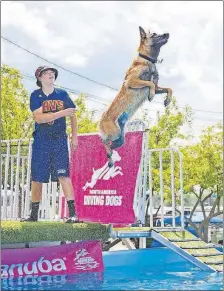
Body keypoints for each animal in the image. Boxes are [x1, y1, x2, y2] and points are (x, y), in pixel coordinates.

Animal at [98, 27, 172, 169]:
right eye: (154, 34)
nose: (167, 33)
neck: (147, 60)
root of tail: (101, 120)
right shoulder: (131, 81)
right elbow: (149, 84)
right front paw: (151, 95)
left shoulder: (157, 86)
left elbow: (168, 88)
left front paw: (167, 100)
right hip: (114, 133)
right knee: (104, 141)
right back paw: (109, 155)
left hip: (120, 137)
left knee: (113, 144)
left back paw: (111, 155)